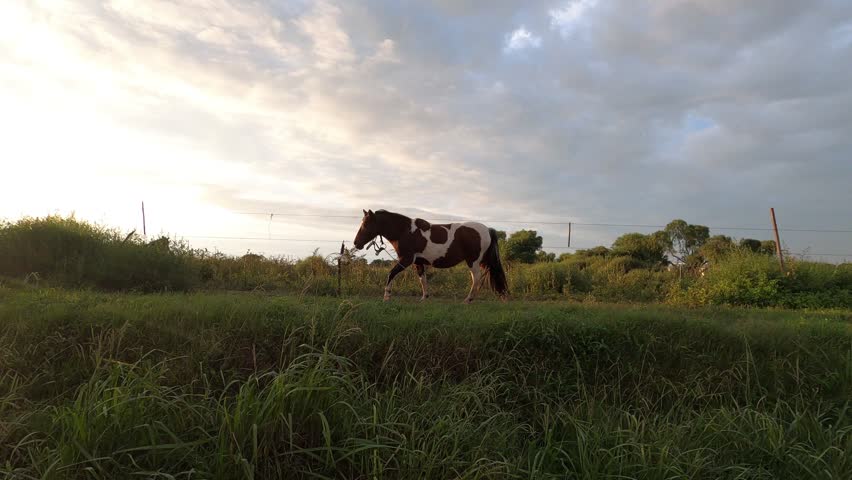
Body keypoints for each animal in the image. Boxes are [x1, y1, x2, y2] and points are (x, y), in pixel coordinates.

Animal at [353, 209, 508, 303]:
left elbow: (391, 273)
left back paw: (468, 300)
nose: (356, 243)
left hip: (473, 261)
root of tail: (487, 229)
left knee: (475, 279)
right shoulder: (418, 262)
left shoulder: (406, 260)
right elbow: (423, 280)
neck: (405, 231)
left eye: (365, 224)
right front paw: (424, 298)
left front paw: (386, 296)